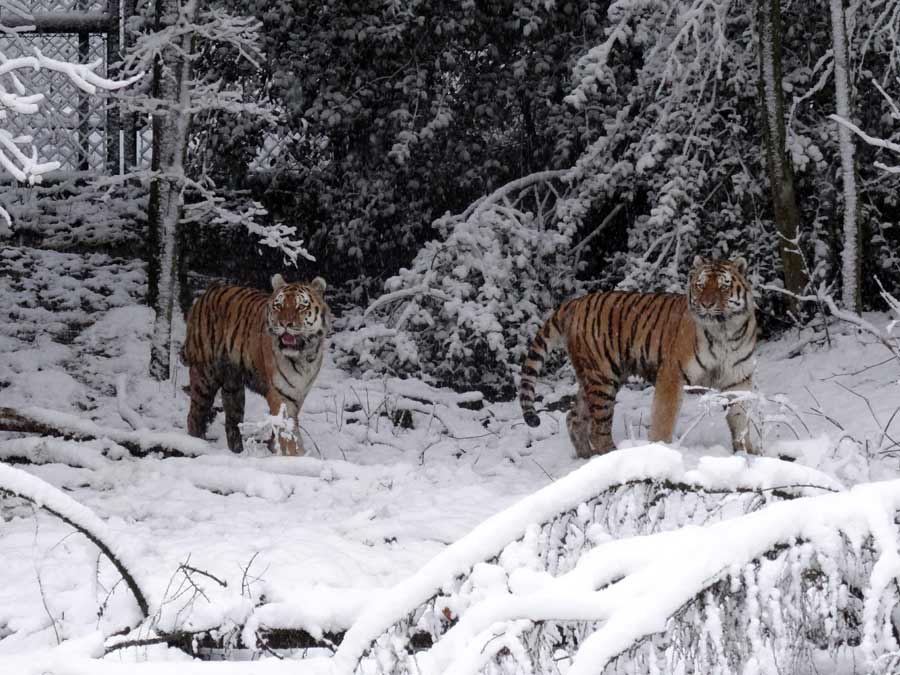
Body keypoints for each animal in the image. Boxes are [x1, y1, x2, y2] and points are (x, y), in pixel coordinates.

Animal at [179, 272, 330, 456]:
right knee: (194, 416)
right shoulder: (281, 395)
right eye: (278, 306)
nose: (284, 324)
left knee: (232, 423)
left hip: (233, 387)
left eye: (301, 306)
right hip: (205, 375)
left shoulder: (298, 395)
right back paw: (196, 445)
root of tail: (206, 293)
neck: (304, 355)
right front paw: (293, 455)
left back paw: (238, 453)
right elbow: (287, 434)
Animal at [520, 256, 760, 456]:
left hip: (592, 377)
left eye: (723, 286)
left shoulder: (738, 378)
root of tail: (576, 302)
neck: (724, 331)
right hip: (603, 378)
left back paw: (586, 459)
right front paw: (660, 450)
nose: (706, 304)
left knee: (574, 417)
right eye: (700, 285)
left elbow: (740, 417)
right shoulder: (672, 373)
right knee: (598, 429)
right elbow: (664, 417)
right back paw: (613, 456)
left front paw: (746, 452)